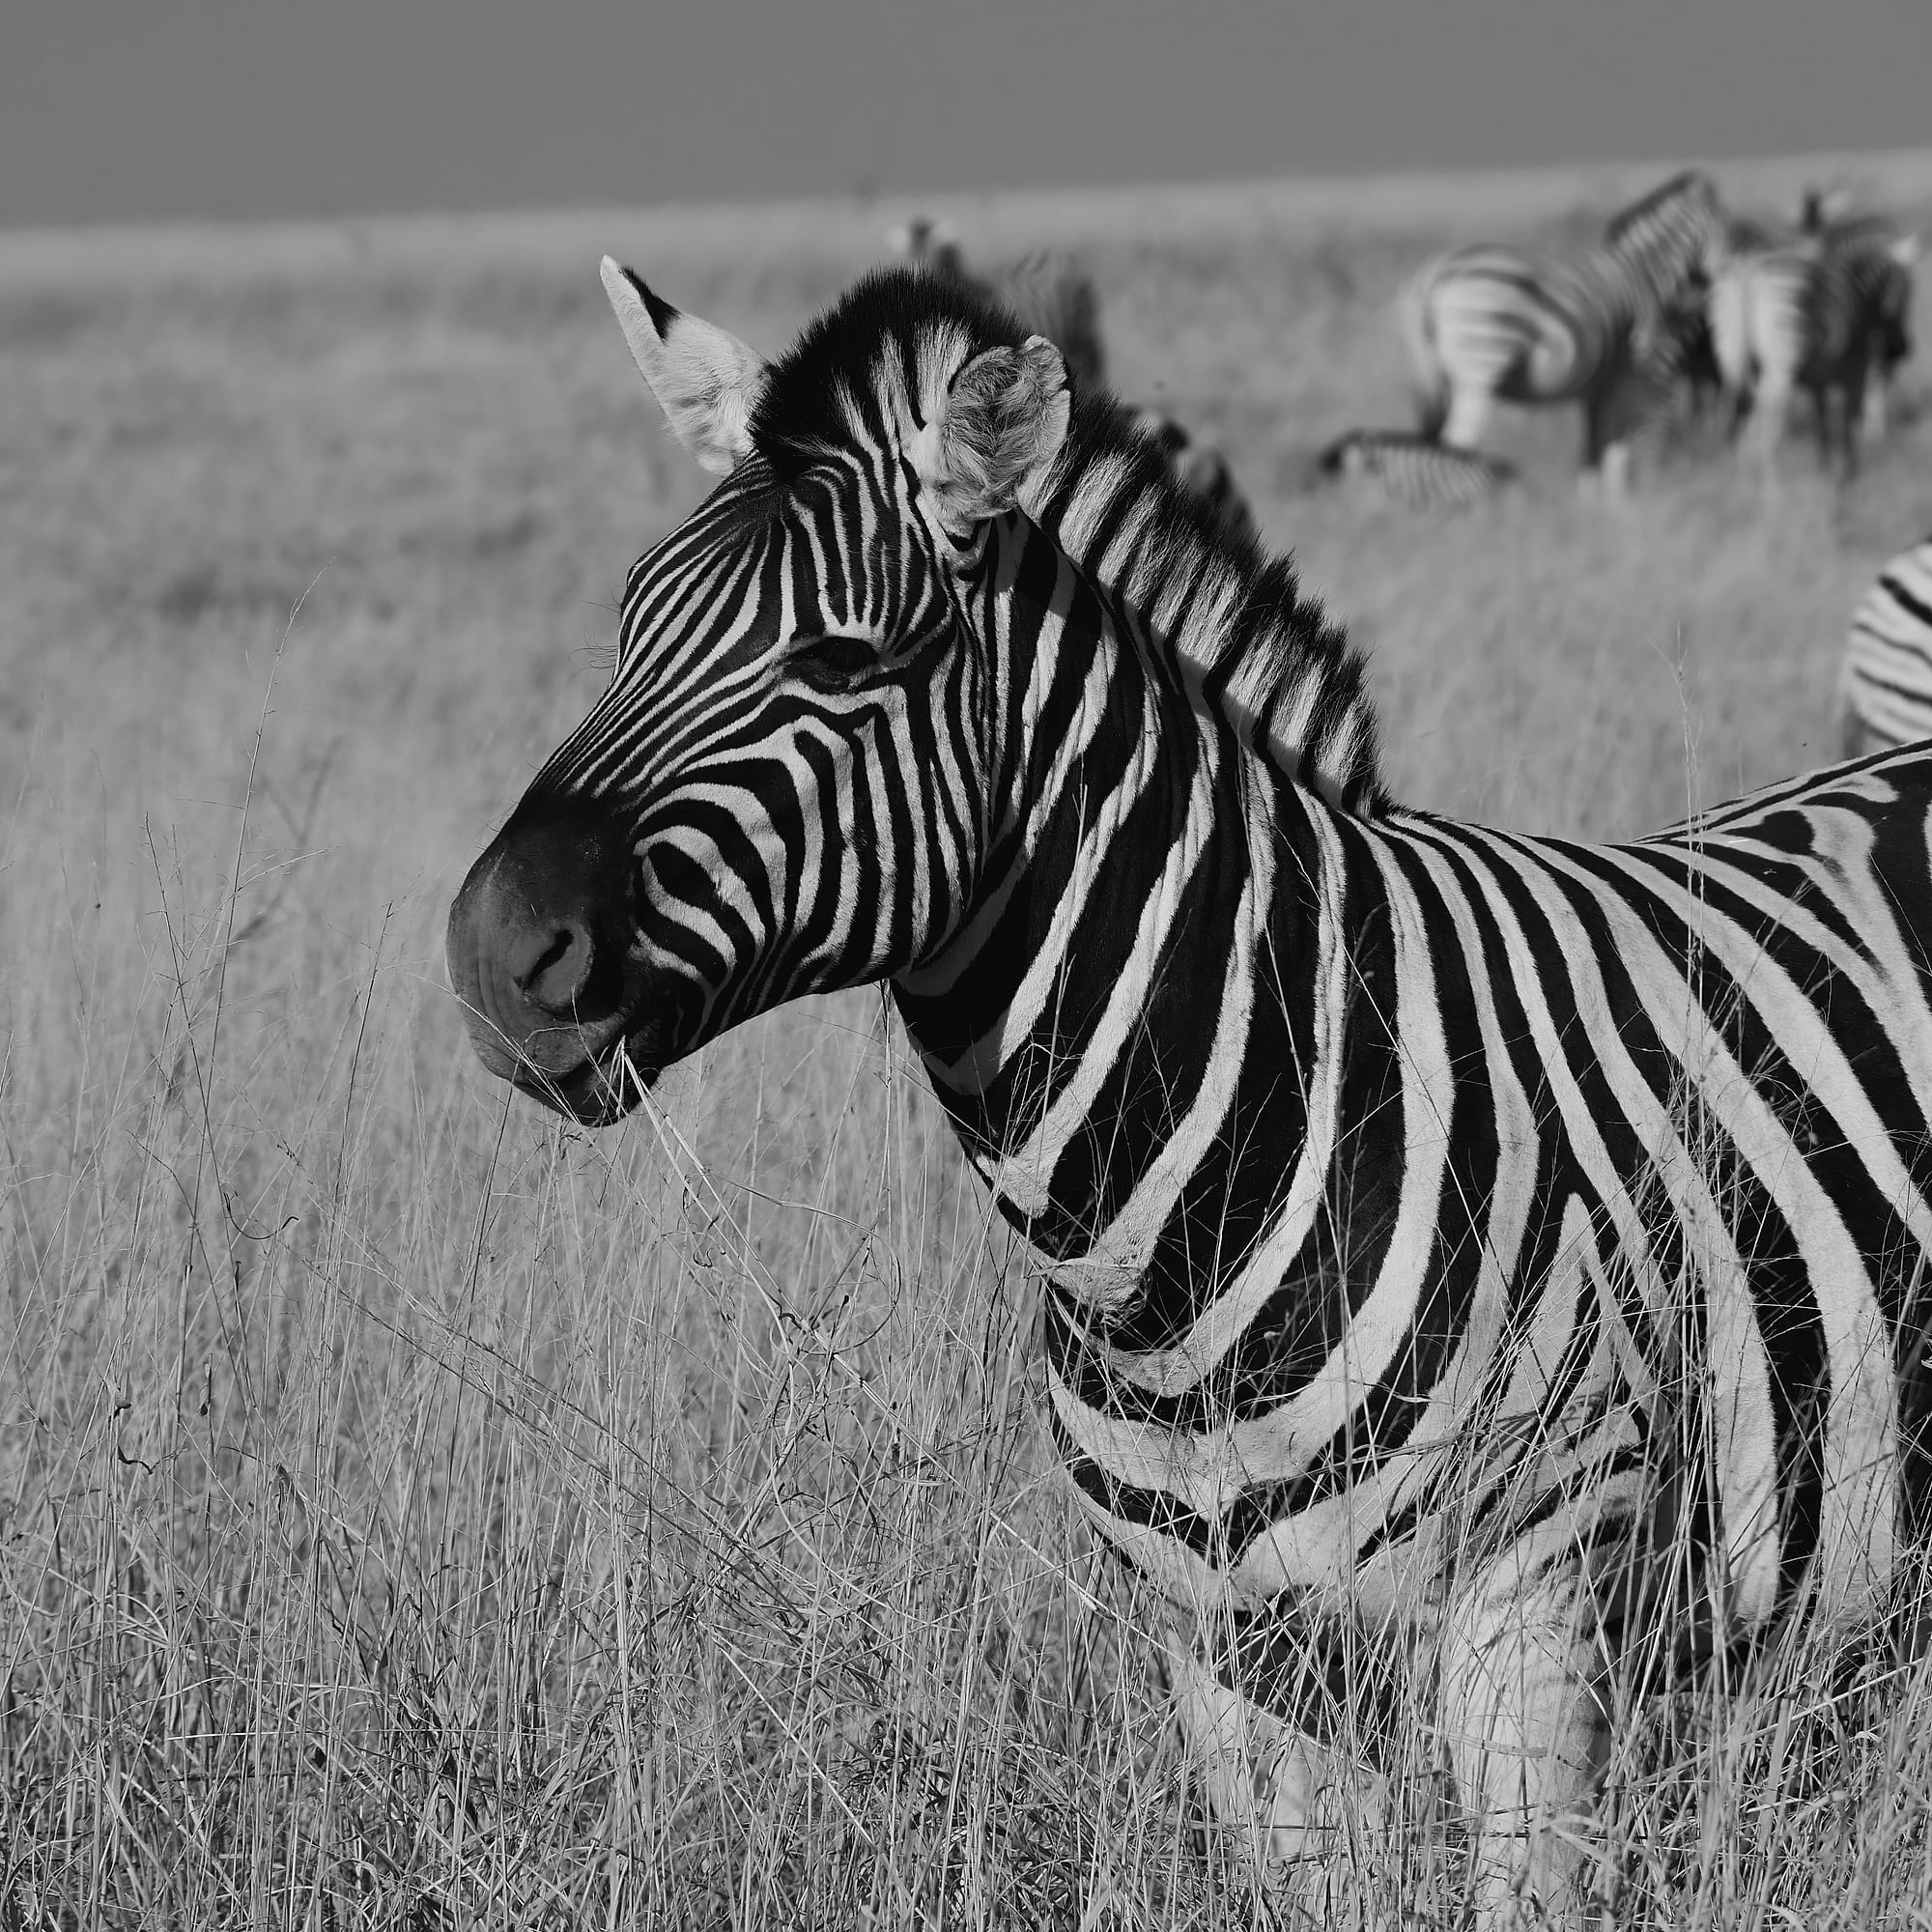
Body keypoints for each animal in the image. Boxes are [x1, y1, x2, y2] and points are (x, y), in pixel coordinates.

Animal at [1401, 170, 1728, 490]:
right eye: (1732, 232)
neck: (1644, 273)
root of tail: (1433, 275)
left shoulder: (1596, 385)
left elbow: (1593, 447)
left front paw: (1589, 500)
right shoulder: (1629, 375)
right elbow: (1616, 445)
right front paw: (1617, 501)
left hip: (1437, 377)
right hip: (1481, 361)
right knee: (1458, 441)